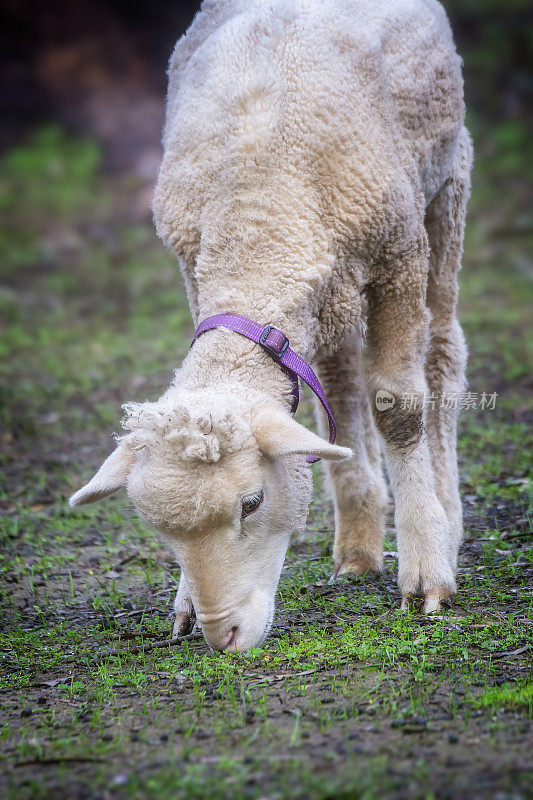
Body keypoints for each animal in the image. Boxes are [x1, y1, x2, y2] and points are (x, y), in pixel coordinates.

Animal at [69, 0, 470, 648]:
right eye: (164, 534)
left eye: (252, 504)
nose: (222, 637)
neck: (259, 208)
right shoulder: (194, 264)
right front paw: (185, 602)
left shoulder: (398, 252)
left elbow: (398, 406)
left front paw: (426, 574)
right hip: (333, 291)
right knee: (339, 383)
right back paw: (358, 545)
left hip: (446, 182)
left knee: (439, 354)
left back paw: (446, 521)